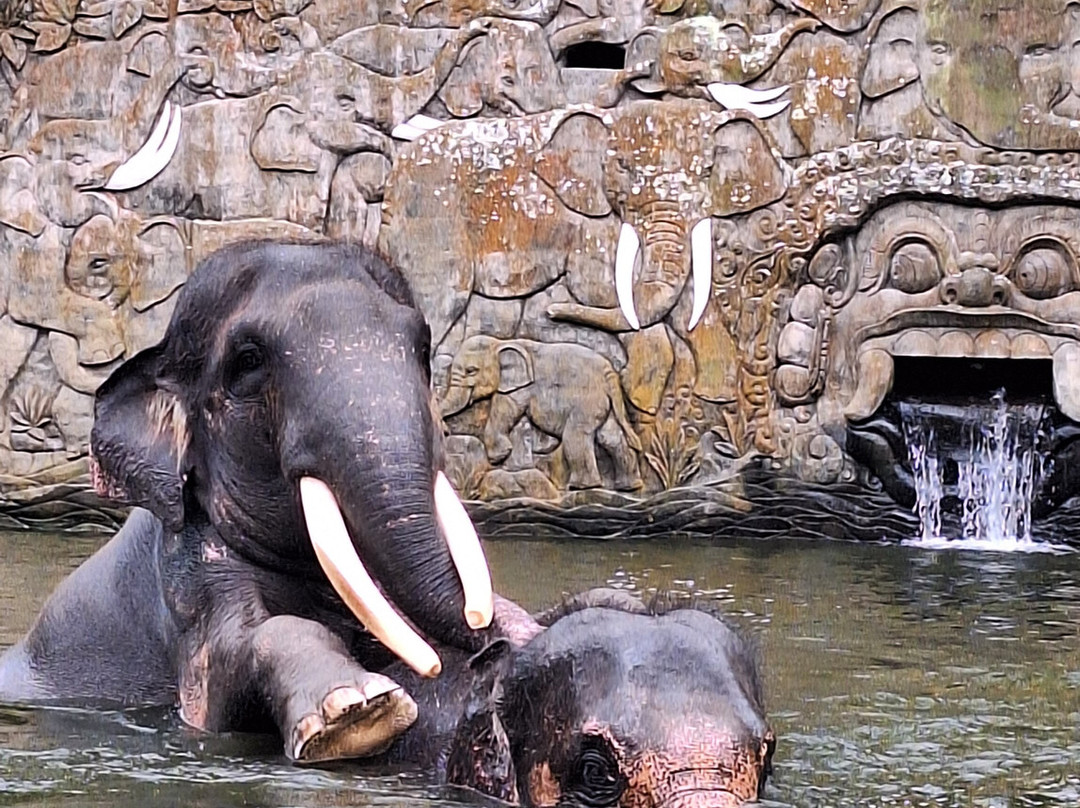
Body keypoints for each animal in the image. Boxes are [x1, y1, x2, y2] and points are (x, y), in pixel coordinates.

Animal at [0, 241, 496, 763]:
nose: (483, 633)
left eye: (422, 347)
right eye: (249, 359)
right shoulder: (187, 574)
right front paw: (357, 714)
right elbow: (221, 674)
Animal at [439, 335, 643, 490]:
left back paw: (580, 487)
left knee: (575, 435)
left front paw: (500, 455)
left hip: (587, 399)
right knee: (611, 437)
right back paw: (628, 487)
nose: (445, 429)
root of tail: (609, 373)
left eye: (471, 371)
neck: (500, 343)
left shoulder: (521, 386)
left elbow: (506, 410)